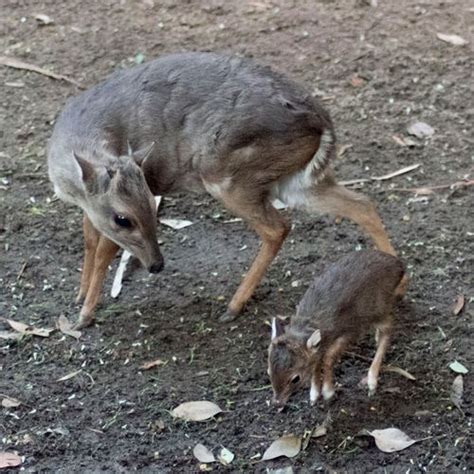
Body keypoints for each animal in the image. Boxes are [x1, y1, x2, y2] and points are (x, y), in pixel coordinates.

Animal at [47, 50, 400, 328]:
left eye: (150, 203)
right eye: (127, 217)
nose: (157, 264)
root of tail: (322, 123)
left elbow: (104, 250)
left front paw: (84, 315)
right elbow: (89, 239)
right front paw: (79, 295)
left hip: (228, 178)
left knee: (278, 227)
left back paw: (232, 306)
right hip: (296, 182)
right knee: (362, 204)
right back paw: (399, 283)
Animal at [266, 250, 404, 410]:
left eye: (295, 379)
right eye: (269, 372)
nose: (277, 402)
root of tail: (399, 265)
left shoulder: (350, 330)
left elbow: (328, 357)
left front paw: (328, 393)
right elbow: (316, 363)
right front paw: (314, 396)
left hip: (379, 309)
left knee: (387, 331)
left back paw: (371, 382)